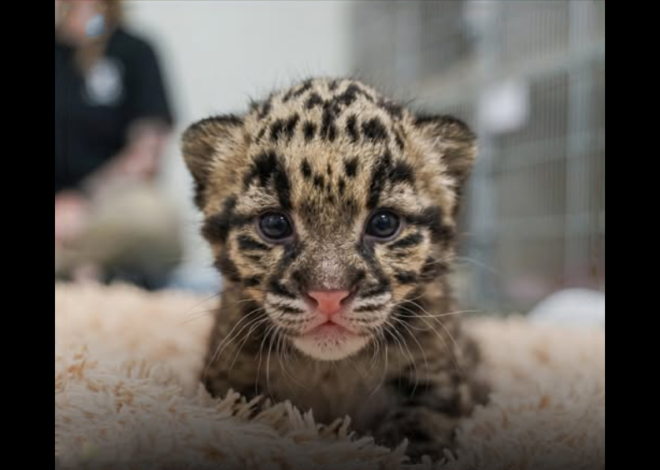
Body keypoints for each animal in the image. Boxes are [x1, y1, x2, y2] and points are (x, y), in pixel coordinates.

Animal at [181, 77, 489, 462]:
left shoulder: (439, 378)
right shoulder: (227, 379)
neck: (331, 371)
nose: (329, 294)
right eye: (274, 224)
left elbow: (419, 434)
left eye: (384, 223)